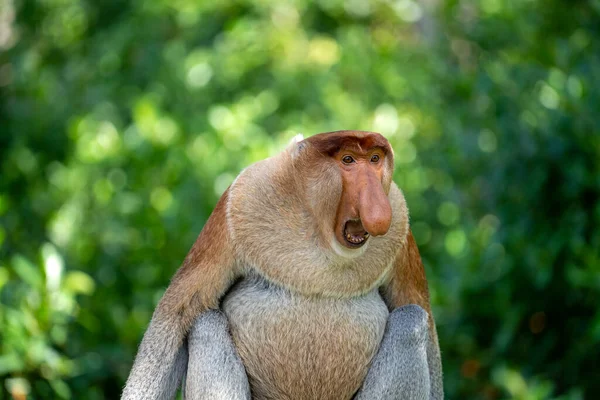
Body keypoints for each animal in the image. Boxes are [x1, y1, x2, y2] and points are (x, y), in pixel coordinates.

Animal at [122, 131, 442, 400]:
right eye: (348, 160)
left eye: (375, 159)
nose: (377, 208)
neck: (318, 231)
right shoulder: (239, 202)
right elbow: (178, 311)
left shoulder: (399, 220)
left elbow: (417, 310)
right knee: (205, 322)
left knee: (411, 319)